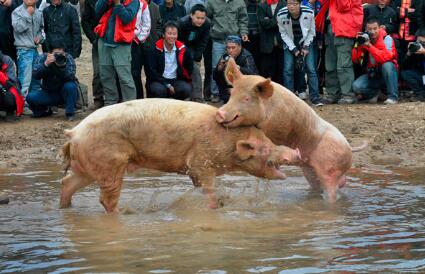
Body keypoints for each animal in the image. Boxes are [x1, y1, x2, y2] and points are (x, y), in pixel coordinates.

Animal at [60, 98, 302, 212]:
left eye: (269, 140)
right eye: (264, 147)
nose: (296, 152)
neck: (228, 142)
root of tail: (74, 133)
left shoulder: (196, 169)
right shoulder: (200, 161)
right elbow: (208, 188)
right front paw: (214, 207)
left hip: (88, 165)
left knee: (67, 182)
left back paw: (65, 208)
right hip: (109, 163)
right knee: (106, 198)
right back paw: (125, 213)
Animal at [214, 58, 366, 202]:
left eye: (246, 98)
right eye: (231, 94)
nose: (220, 113)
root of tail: (349, 147)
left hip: (331, 170)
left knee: (332, 190)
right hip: (310, 172)